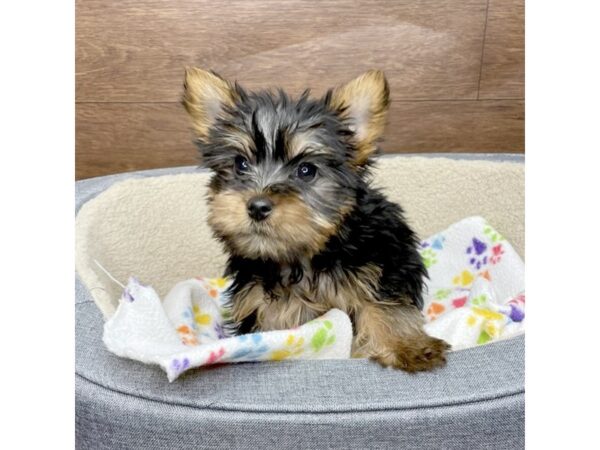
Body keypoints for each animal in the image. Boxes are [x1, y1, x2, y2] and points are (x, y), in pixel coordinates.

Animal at [183, 68, 450, 370]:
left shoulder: (383, 265)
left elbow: (385, 307)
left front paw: (409, 347)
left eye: (306, 170)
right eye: (241, 164)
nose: (257, 206)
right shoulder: (260, 304)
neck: (304, 255)